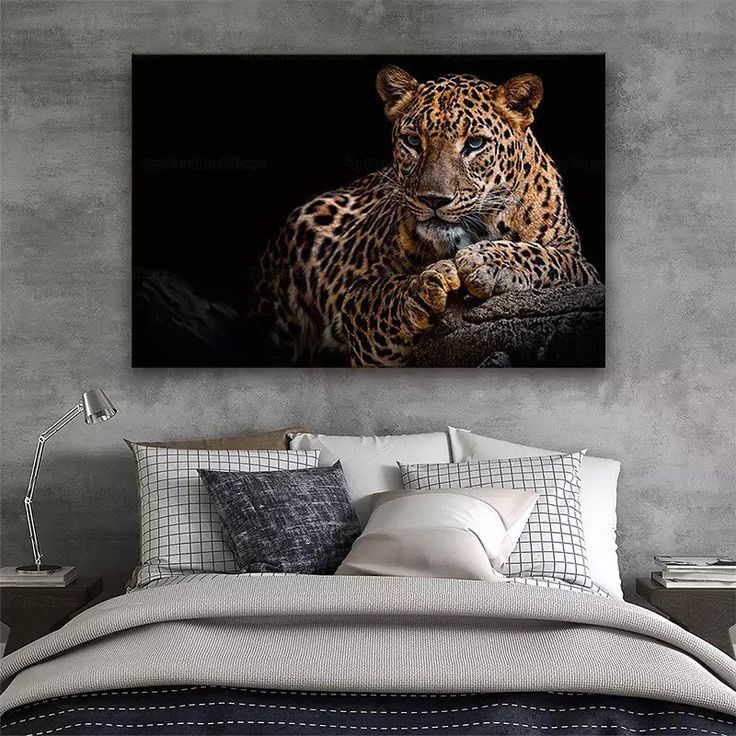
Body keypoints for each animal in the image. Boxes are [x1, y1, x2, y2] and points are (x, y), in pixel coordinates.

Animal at [253, 65, 601, 367]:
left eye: (475, 143)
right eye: (412, 141)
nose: (433, 199)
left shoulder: (583, 268)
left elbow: (549, 257)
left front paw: (487, 262)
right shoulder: (356, 297)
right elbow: (378, 295)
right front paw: (419, 292)